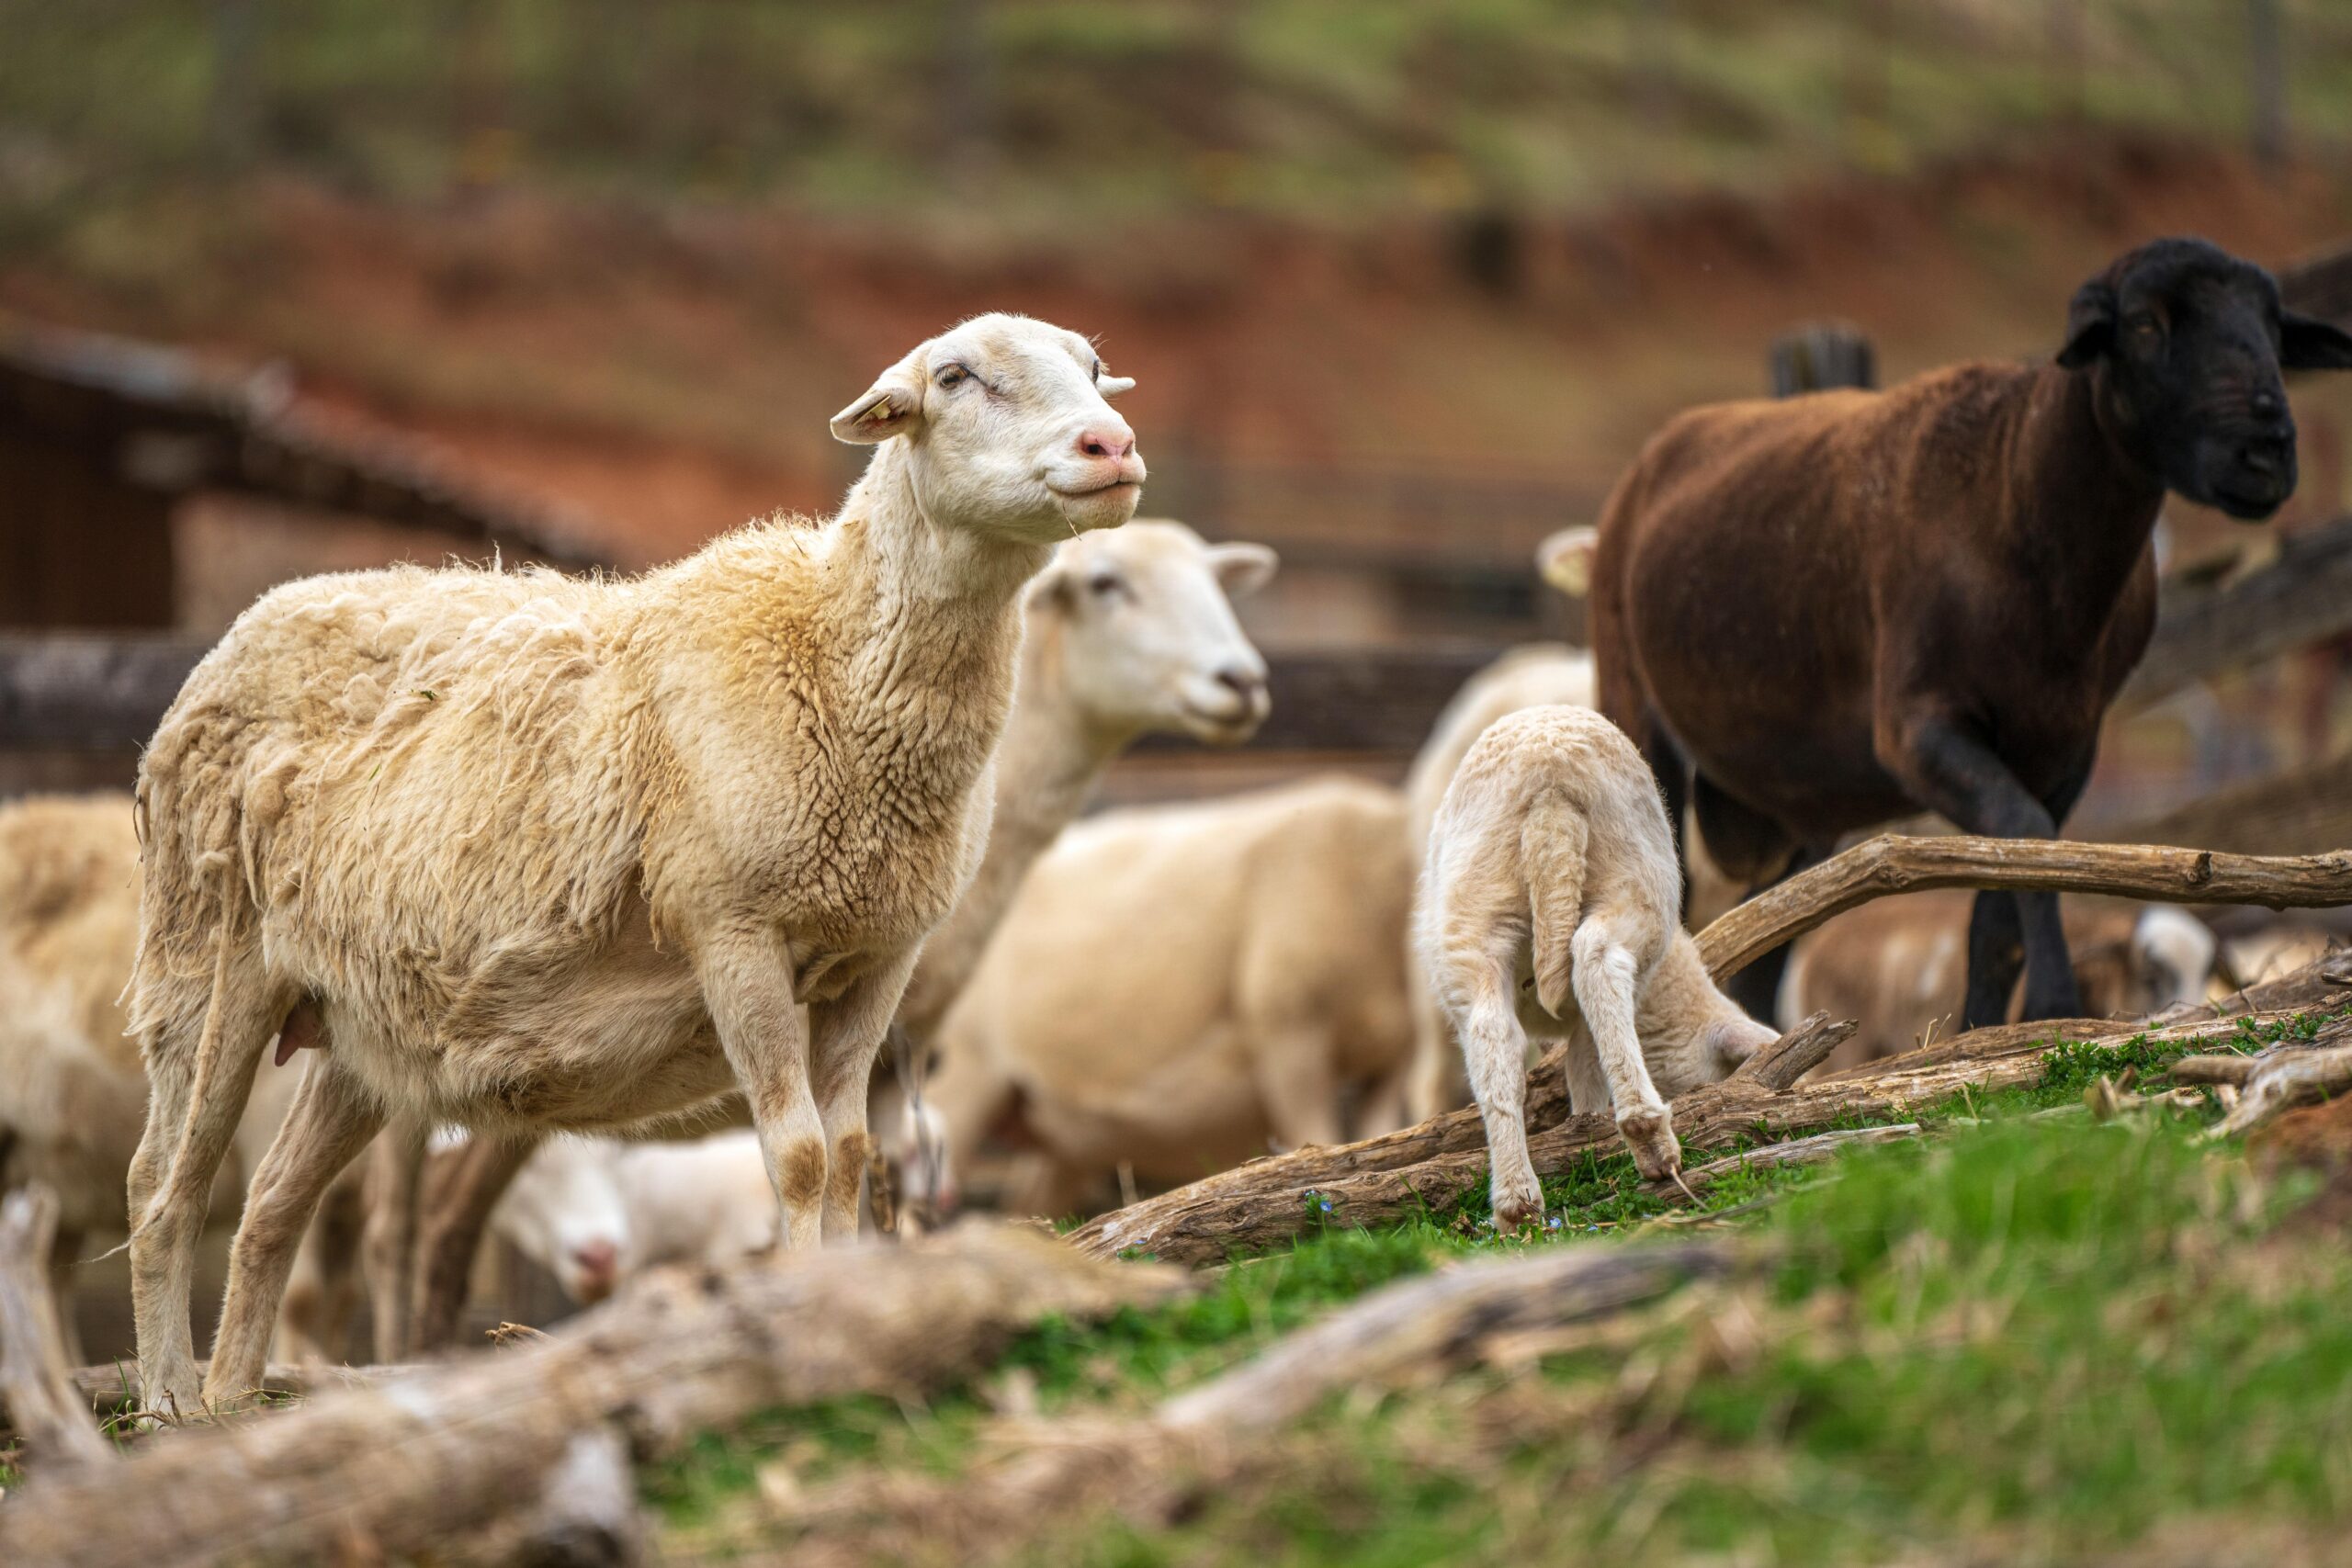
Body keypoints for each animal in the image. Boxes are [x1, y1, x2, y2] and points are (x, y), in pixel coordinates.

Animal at [126, 312, 1148, 1419]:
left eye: (1096, 370)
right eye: (956, 378)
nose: (1114, 447)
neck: (831, 653)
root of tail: (249, 620)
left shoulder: (879, 956)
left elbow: (848, 1158)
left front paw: (849, 1297)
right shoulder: (734, 930)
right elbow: (797, 1159)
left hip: (355, 1024)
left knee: (272, 1202)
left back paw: (233, 1401)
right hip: (205, 956)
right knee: (163, 1186)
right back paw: (167, 1401)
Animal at [1411, 705, 1769, 1232]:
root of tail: (1551, 785)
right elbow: (1587, 1065)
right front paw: (1590, 1129)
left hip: (1474, 913)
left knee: (1493, 1033)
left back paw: (1516, 1201)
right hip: (1636, 877)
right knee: (1597, 963)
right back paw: (1648, 1139)